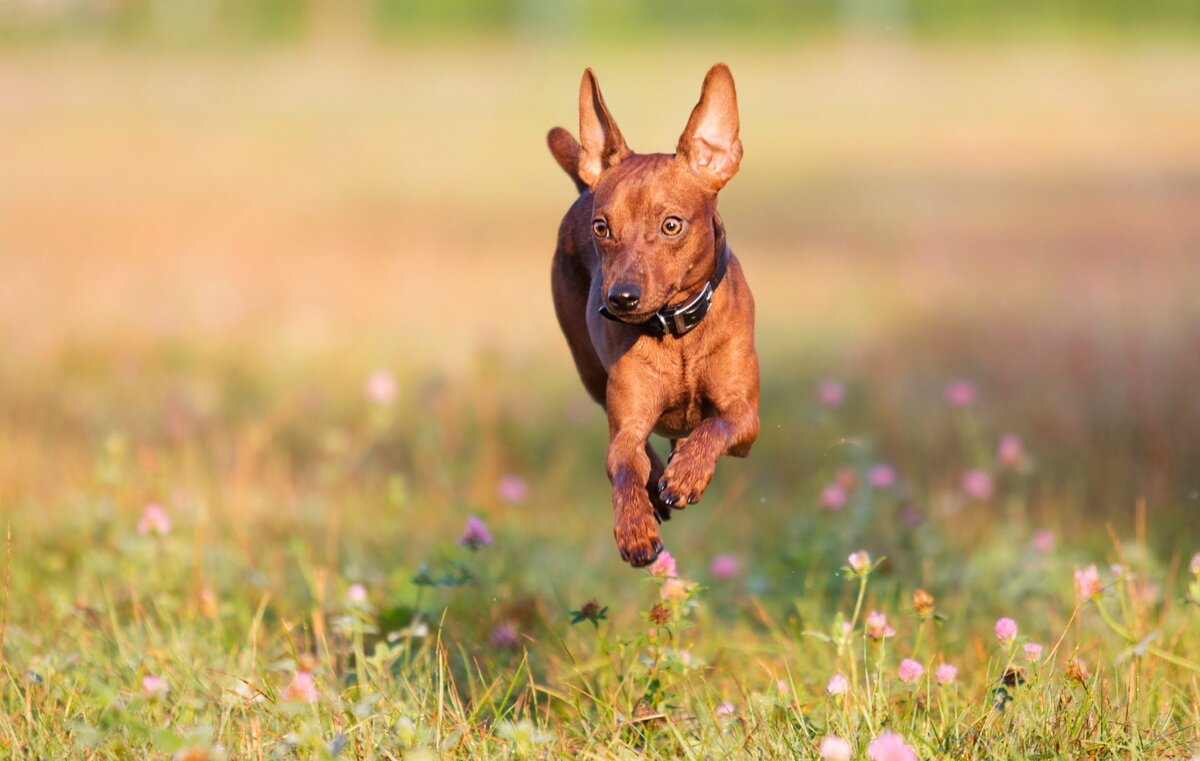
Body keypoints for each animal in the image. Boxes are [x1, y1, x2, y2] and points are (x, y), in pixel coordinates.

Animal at [547, 63, 758, 564]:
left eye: (671, 225)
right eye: (601, 228)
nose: (620, 298)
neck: (677, 331)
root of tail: (585, 184)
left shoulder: (747, 418)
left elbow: (716, 424)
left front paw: (688, 473)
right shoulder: (626, 425)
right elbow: (623, 464)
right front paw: (634, 526)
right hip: (591, 375)